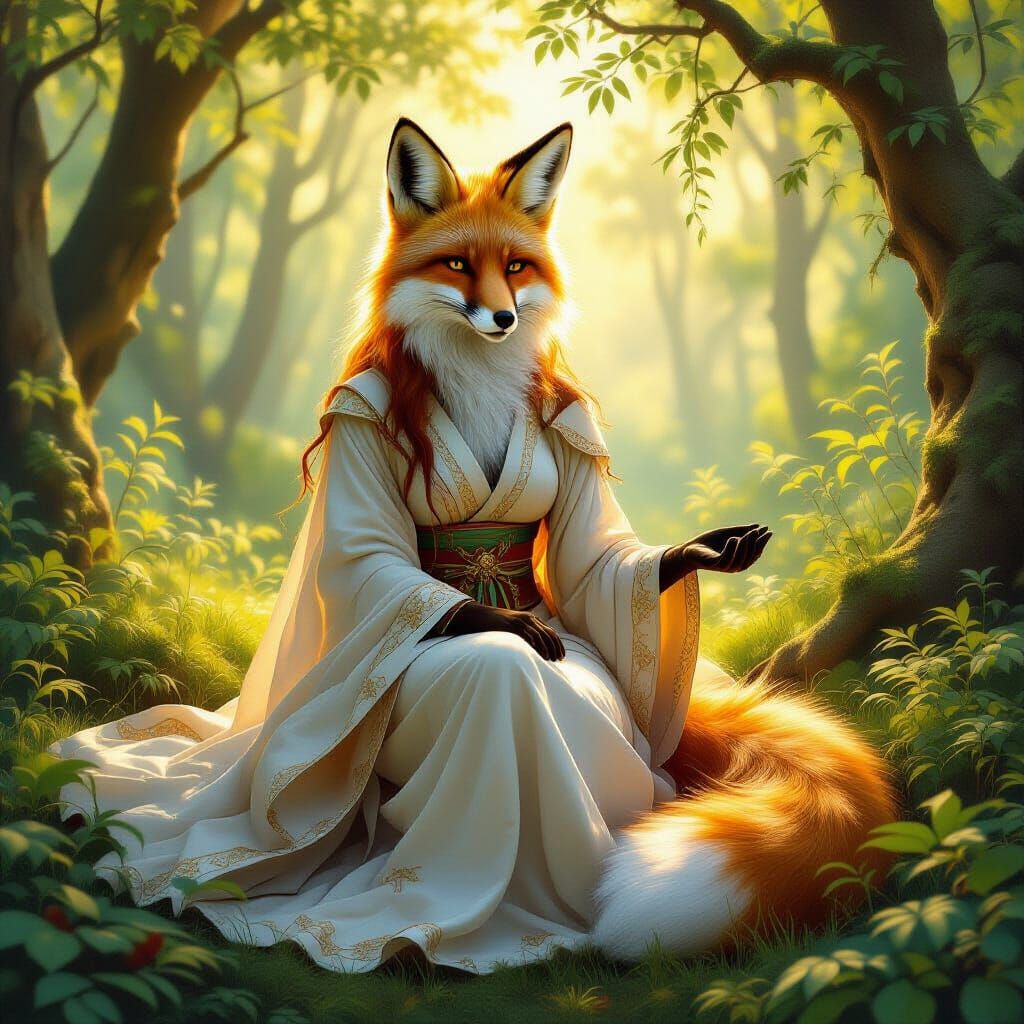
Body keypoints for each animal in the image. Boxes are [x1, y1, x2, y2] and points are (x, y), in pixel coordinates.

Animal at [305, 118, 896, 959]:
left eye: (515, 268)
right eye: (458, 265)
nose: (503, 319)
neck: (477, 379)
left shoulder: (572, 429)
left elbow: (598, 561)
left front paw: (695, 555)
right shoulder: (359, 425)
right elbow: (379, 569)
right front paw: (503, 618)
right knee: (499, 669)